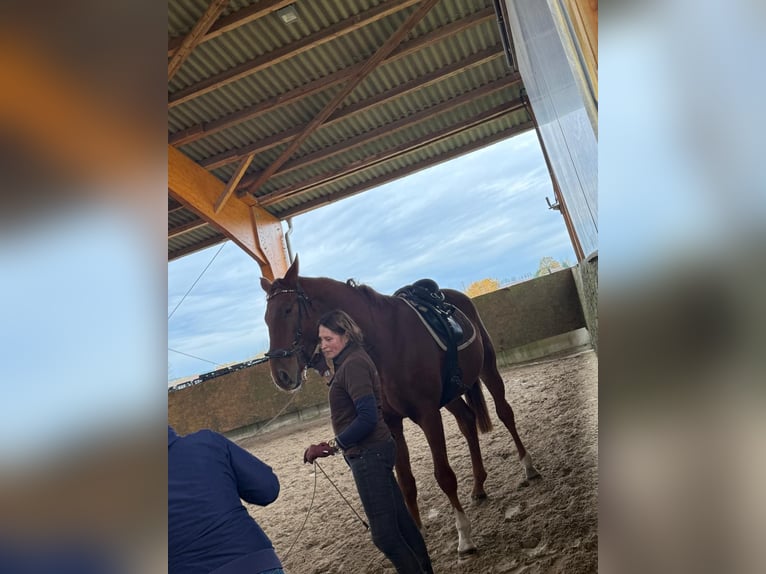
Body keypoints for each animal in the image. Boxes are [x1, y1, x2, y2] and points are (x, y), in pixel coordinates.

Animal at [260, 257, 539, 555]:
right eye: (266, 318)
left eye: (288, 310)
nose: (281, 375)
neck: (384, 342)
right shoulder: (391, 423)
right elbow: (406, 482)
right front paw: (419, 533)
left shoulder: (427, 414)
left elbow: (444, 475)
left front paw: (464, 536)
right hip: (450, 396)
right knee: (467, 421)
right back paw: (478, 485)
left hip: (487, 368)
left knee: (504, 413)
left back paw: (528, 467)